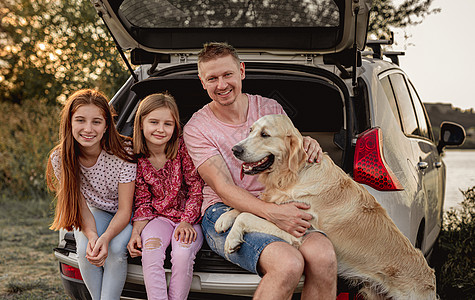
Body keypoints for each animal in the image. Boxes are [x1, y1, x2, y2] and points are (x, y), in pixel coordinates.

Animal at [215, 114, 436, 300]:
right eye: (250, 130)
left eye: (265, 134)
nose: (235, 150)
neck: (293, 175)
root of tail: (430, 279)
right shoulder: (276, 204)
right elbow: (251, 206)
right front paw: (223, 219)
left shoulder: (298, 229)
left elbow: (246, 214)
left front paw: (232, 239)